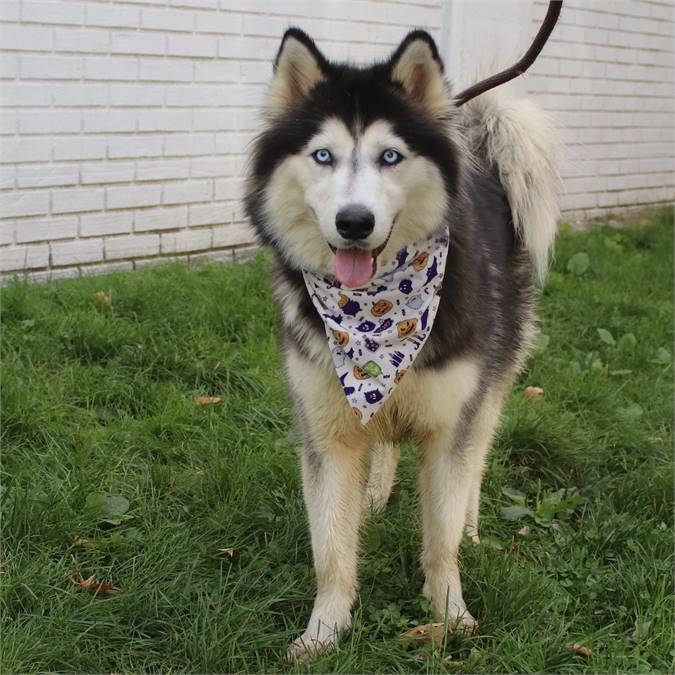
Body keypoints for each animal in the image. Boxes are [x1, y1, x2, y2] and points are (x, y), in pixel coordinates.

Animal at [244, 27, 560, 660]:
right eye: (323, 155)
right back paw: (374, 496)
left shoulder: (450, 424)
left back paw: (473, 524)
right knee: (385, 442)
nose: (354, 222)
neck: (375, 322)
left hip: (494, 378)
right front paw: (325, 629)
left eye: (390, 156)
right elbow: (331, 548)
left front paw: (450, 614)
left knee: (477, 456)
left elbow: (441, 536)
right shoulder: (326, 429)